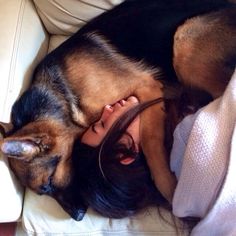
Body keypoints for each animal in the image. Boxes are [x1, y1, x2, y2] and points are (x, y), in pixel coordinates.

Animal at [0, 0, 236, 219]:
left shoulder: (147, 87)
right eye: (44, 191)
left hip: (184, 40)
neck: (63, 97)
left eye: (48, 183)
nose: (77, 216)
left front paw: (168, 188)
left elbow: (150, 142)